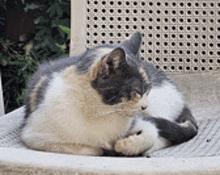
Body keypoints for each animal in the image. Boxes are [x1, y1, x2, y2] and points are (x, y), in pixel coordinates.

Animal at [21, 32, 199, 157]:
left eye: (148, 89)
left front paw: (124, 146)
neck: (99, 113)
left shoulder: (137, 121)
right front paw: (106, 148)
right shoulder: (33, 136)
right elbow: (92, 149)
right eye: (136, 91)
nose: (144, 106)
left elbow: (151, 133)